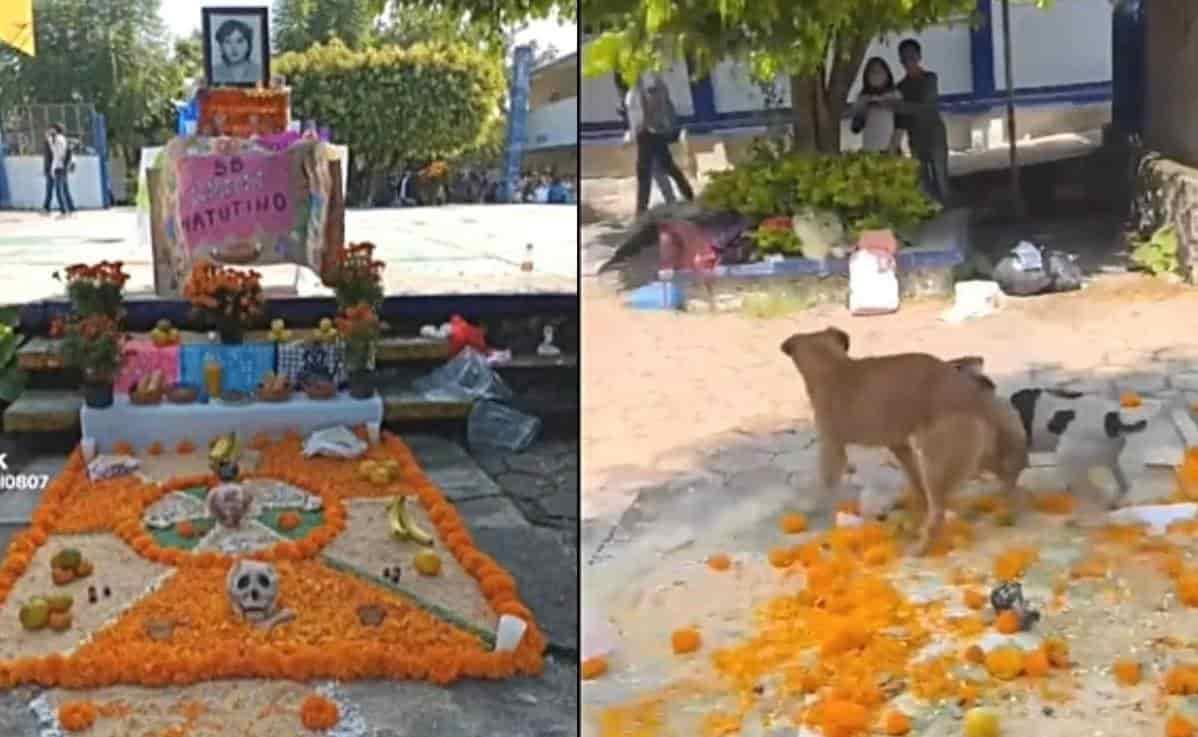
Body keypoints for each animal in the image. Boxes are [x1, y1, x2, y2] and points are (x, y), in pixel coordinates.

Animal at [781, 328, 1025, 553]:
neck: (831, 366)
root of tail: (973, 397)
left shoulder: (832, 447)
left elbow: (826, 486)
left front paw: (818, 512)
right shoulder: (900, 446)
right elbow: (916, 483)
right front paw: (917, 509)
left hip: (936, 464)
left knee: (938, 513)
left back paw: (921, 547)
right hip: (973, 456)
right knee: (1008, 478)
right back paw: (1012, 508)